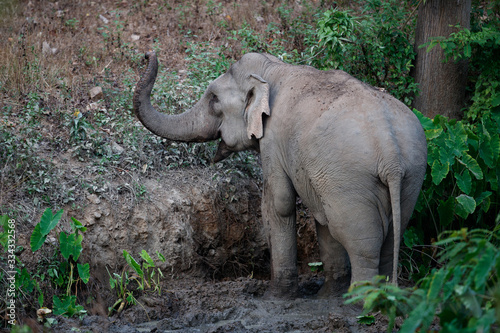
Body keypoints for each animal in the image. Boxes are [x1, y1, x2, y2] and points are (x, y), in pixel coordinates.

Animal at [133, 50, 426, 296]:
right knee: (390, 236)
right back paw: (383, 297)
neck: (273, 69)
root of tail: (390, 152)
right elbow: (319, 216)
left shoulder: (273, 140)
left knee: (361, 240)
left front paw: (279, 295)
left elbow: (280, 203)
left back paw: (358, 301)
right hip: (411, 174)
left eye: (214, 100)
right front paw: (326, 295)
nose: (147, 54)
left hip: (351, 179)